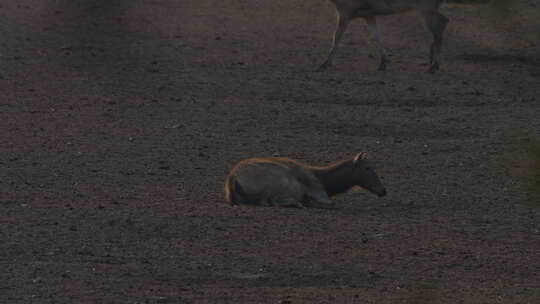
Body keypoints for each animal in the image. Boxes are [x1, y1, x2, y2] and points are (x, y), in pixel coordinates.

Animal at [225, 152, 388, 209]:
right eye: (368, 167)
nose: (383, 190)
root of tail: (232, 179)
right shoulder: (319, 192)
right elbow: (331, 203)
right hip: (275, 182)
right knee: (269, 201)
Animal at [318, 0, 450, 73]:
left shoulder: (345, 11)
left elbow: (336, 37)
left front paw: (324, 64)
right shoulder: (368, 15)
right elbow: (375, 36)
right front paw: (383, 63)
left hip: (425, 7)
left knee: (439, 27)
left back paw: (433, 66)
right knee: (442, 23)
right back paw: (434, 64)